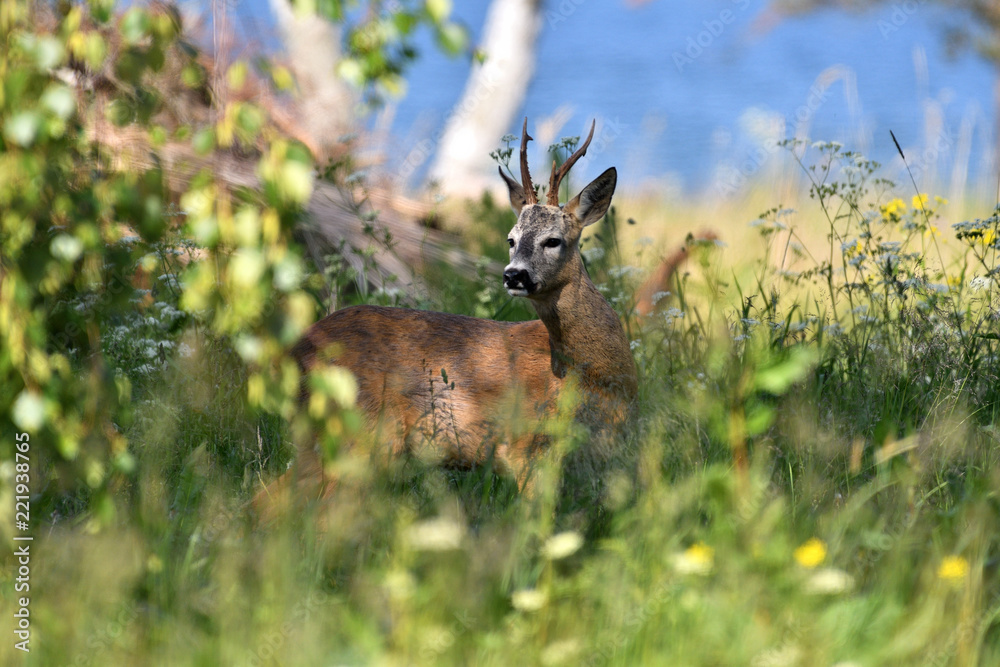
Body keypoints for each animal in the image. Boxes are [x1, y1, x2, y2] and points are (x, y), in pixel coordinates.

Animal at [257, 119, 638, 513]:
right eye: (511, 239)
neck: (598, 374)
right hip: (363, 433)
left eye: (553, 240)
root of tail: (294, 353)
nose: (513, 275)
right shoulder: (526, 445)